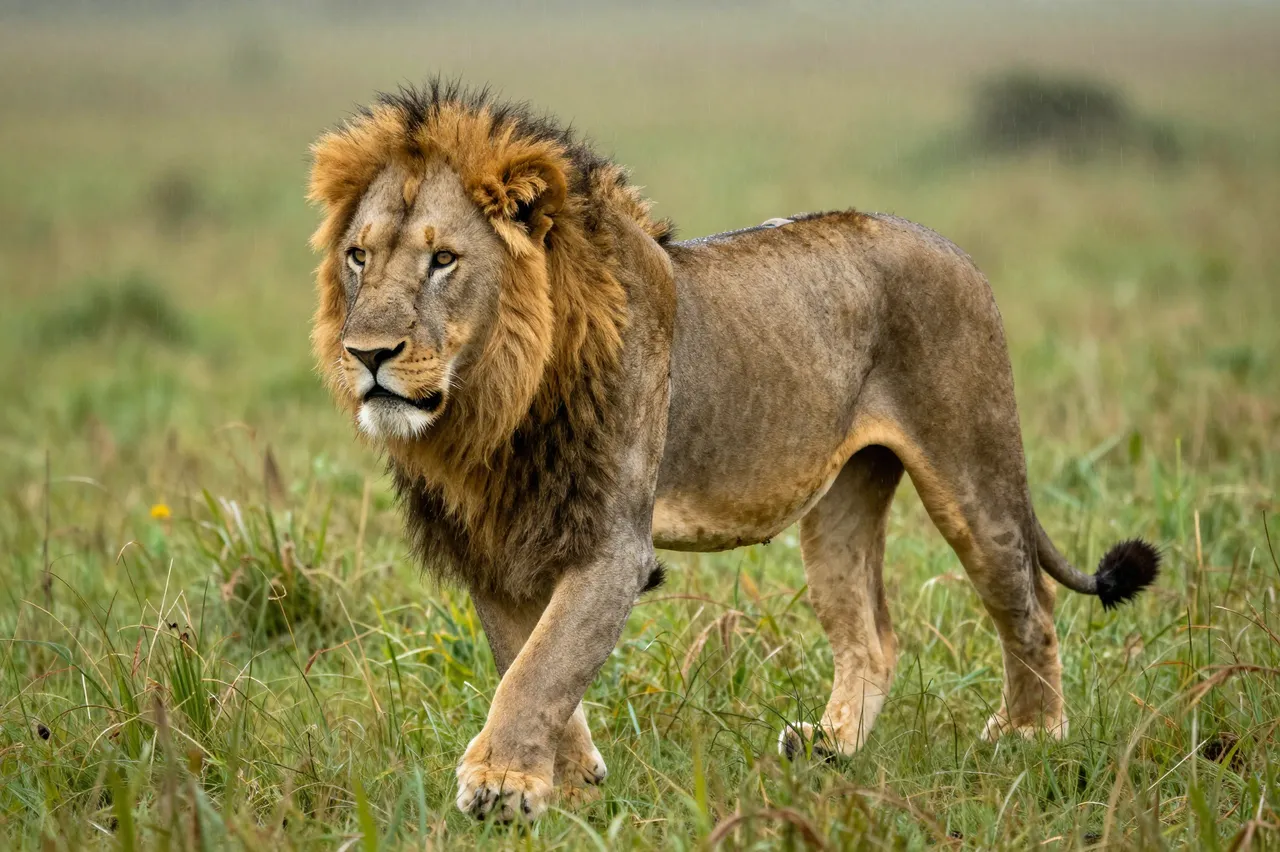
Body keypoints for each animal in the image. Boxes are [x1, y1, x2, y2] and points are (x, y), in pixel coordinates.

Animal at [308, 80, 1159, 822]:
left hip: (972, 468)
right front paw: (570, 784)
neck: (495, 405)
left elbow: (542, 667)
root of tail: (952, 248)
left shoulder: (614, 545)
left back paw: (1032, 738)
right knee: (875, 636)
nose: (367, 354)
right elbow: (529, 661)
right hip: (843, 504)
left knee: (1028, 603)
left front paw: (504, 783)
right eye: (359, 256)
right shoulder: (495, 546)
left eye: (443, 259)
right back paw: (830, 748)